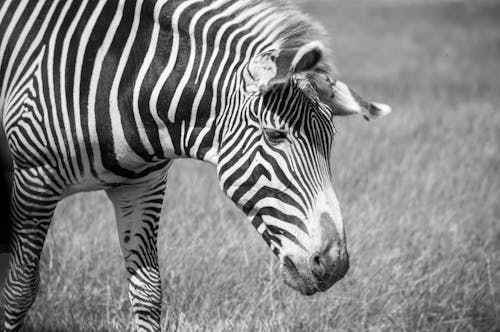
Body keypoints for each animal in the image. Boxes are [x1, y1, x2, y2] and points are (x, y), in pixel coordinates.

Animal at [0, 0, 390, 330]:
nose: (335, 264)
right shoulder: (34, 179)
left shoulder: (142, 187)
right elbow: (19, 290)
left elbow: (148, 291)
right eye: (275, 135)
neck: (125, 84)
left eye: (331, 138)